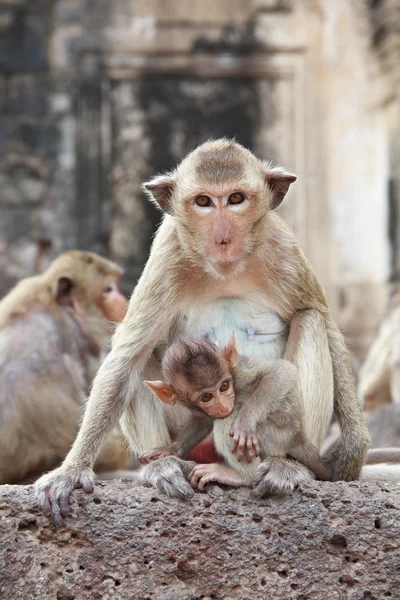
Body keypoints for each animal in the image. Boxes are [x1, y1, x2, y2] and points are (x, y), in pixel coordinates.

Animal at [141, 332, 332, 492]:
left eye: (224, 386)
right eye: (206, 397)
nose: (224, 405)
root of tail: (298, 436)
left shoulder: (239, 370)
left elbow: (281, 371)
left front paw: (244, 423)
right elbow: (202, 421)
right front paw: (169, 450)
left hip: (277, 434)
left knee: (226, 421)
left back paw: (241, 476)